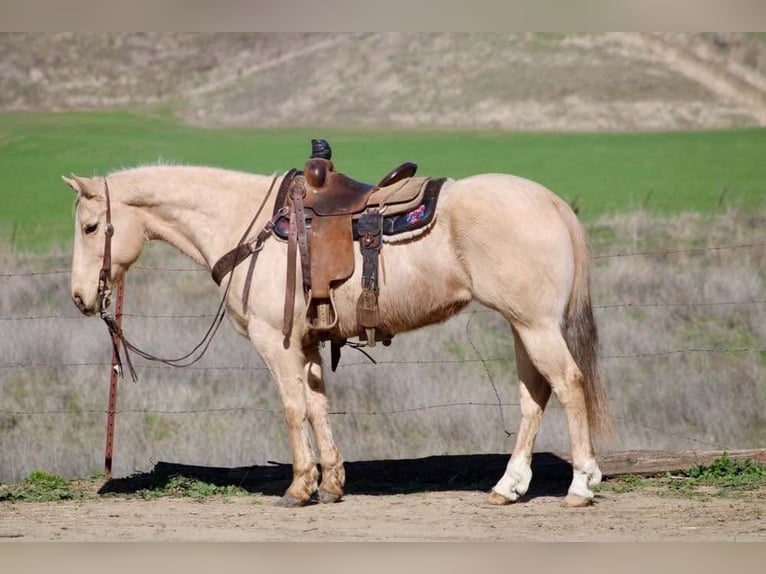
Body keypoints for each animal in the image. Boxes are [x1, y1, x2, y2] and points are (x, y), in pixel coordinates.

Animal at [63, 163, 613, 508]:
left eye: (90, 227)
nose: (80, 298)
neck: (247, 225)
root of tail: (552, 203)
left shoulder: (276, 342)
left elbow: (292, 408)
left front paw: (299, 487)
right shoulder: (307, 344)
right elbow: (318, 407)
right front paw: (331, 483)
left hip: (536, 327)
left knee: (568, 385)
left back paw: (581, 485)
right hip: (523, 327)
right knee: (533, 397)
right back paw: (508, 486)